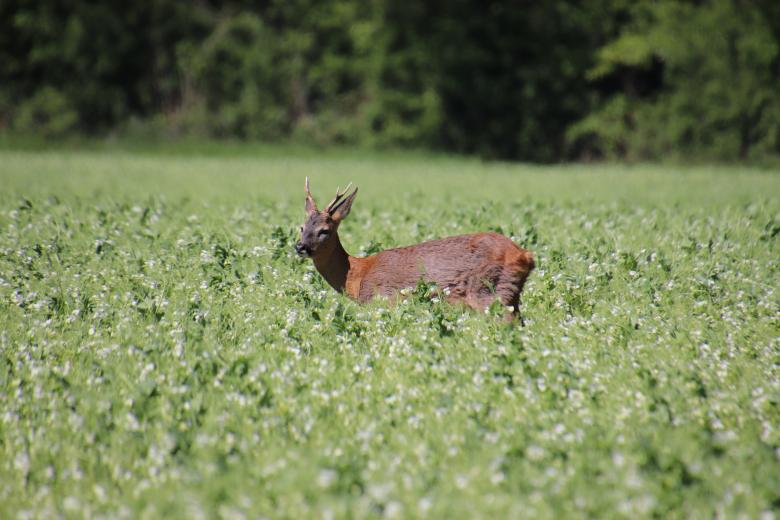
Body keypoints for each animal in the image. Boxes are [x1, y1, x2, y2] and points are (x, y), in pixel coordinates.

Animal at [295, 178, 535, 320]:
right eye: (301, 227)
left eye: (325, 230)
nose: (300, 246)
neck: (357, 274)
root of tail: (525, 255)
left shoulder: (383, 300)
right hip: (510, 296)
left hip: (492, 293)